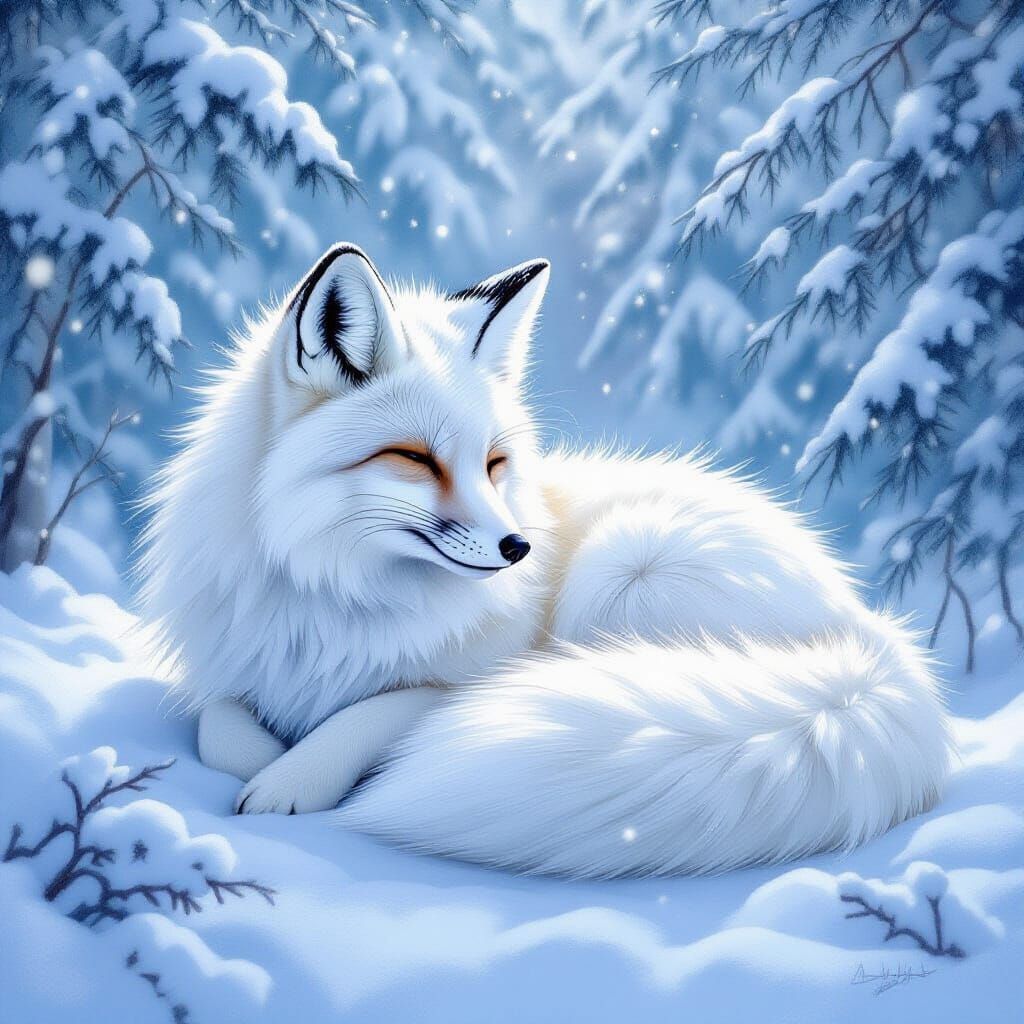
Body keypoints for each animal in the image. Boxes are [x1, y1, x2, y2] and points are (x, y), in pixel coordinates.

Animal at [140, 243, 952, 878]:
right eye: (415, 458)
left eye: (494, 463)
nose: (519, 549)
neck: (335, 595)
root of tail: (873, 637)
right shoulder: (230, 666)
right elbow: (221, 724)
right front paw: (262, 756)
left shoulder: (471, 678)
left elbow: (378, 710)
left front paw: (295, 779)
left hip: (626, 573)